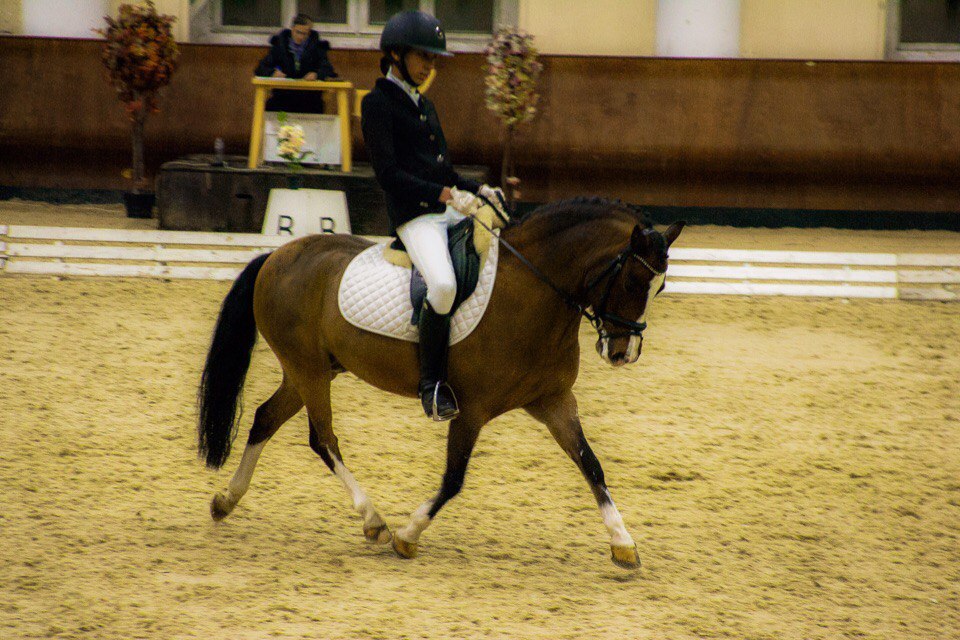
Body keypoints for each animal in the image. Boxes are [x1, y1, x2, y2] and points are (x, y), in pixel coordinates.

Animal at [197, 196, 684, 569]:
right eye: (635, 280)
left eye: (660, 287)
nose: (624, 353)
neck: (533, 293)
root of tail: (276, 256)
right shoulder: (471, 410)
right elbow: (453, 479)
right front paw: (408, 536)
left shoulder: (554, 401)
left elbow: (591, 465)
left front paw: (623, 544)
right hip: (309, 370)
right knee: (323, 439)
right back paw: (373, 521)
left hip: (307, 370)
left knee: (265, 418)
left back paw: (226, 500)